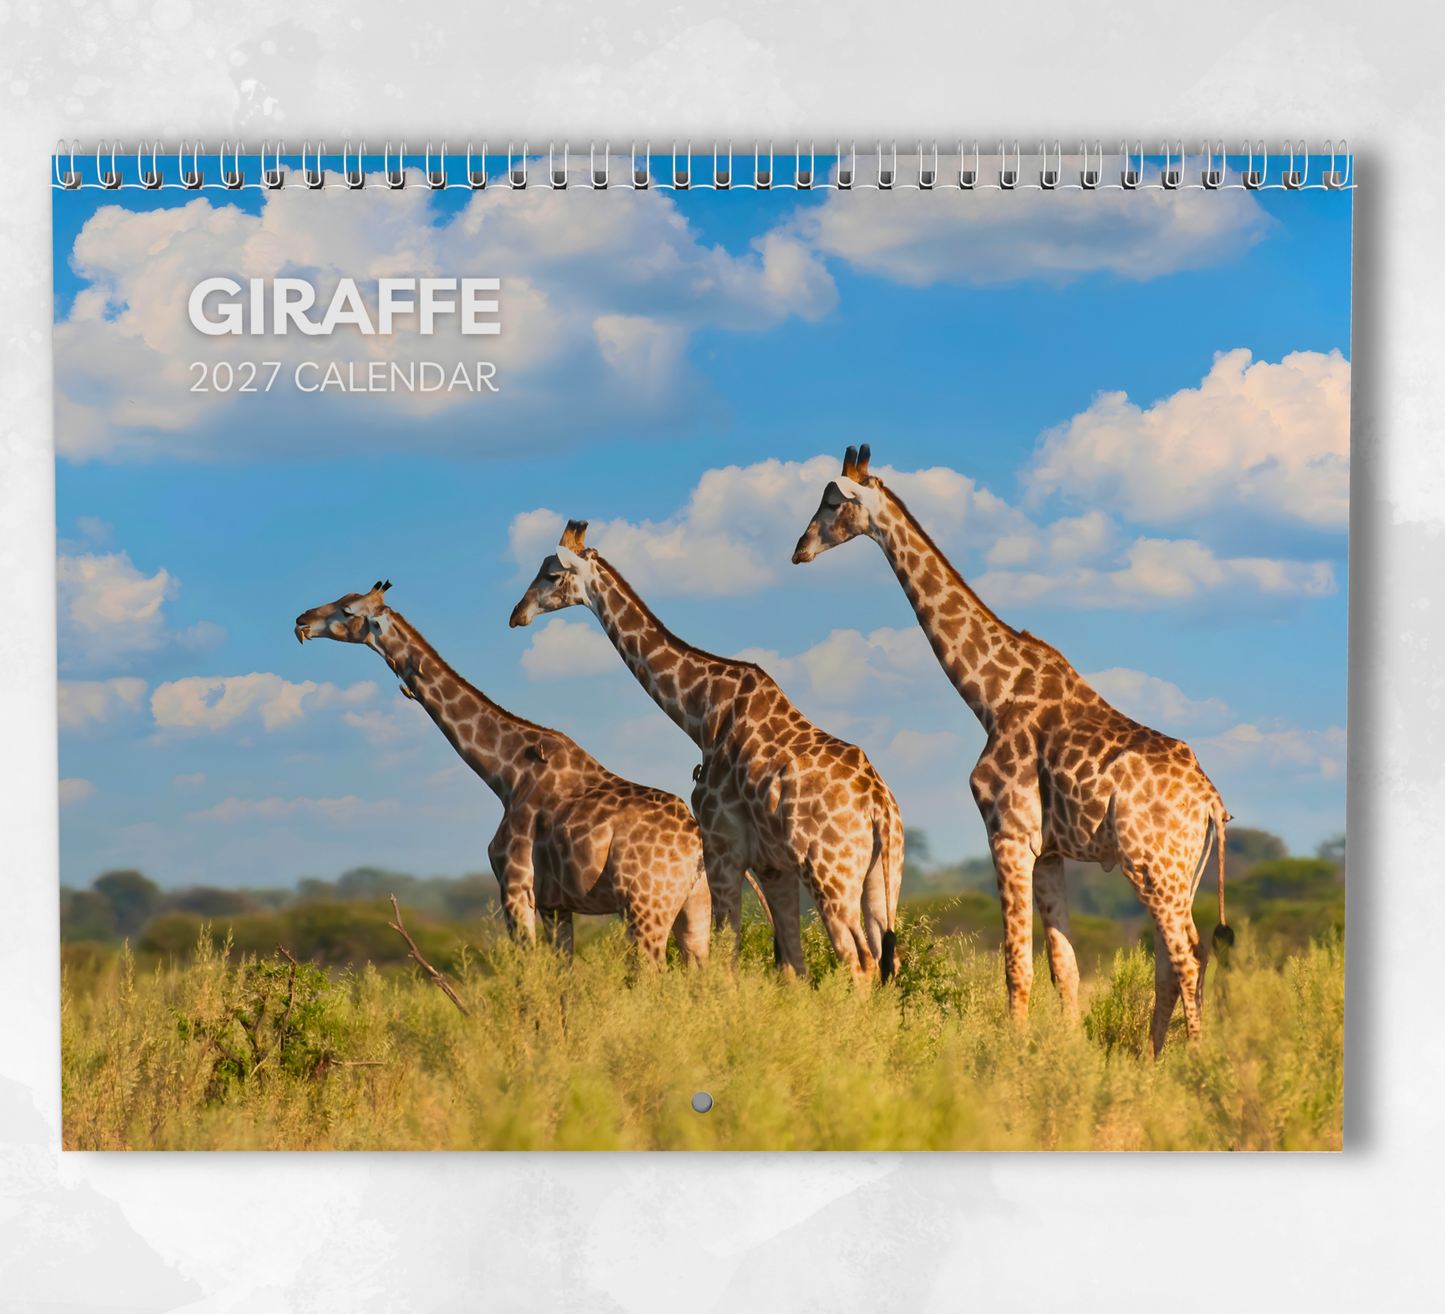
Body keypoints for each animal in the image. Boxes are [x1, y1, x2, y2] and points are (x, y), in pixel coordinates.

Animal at [294, 581, 710, 967]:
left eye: (347, 610)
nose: (302, 621)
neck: (504, 774)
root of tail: (695, 844)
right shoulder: (556, 905)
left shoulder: (515, 890)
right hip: (695, 907)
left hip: (645, 907)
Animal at [509, 522, 904, 984]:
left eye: (552, 574)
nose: (517, 614)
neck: (701, 714)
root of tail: (878, 806)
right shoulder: (772, 865)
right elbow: (792, 966)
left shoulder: (721, 846)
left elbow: (723, 956)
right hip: (882, 877)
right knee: (885, 959)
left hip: (829, 874)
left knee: (858, 961)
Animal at [792, 447, 1232, 1054]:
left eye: (833, 502)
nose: (799, 550)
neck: (991, 694)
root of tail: (1210, 801)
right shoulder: (1047, 851)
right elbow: (1063, 967)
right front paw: (1067, 1054)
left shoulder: (1007, 834)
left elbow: (1015, 965)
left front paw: (1016, 1054)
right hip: (1179, 870)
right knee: (1181, 955)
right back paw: (1153, 1059)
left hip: (1153, 864)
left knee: (1186, 957)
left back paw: (1193, 1058)